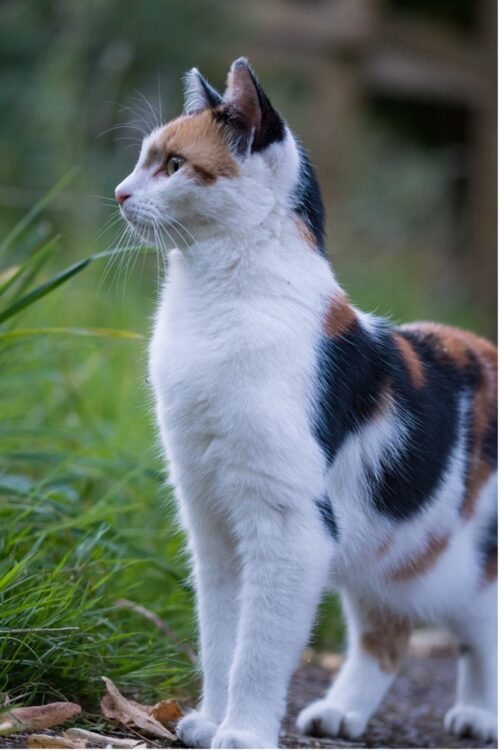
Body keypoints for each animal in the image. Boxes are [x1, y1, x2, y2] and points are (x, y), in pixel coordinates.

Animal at [116, 57, 496, 748]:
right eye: (141, 160)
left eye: (175, 164)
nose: (121, 193)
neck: (217, 300)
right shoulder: (210, 518)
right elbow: (220, 635)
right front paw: (210, 720)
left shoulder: (289, 526)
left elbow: (259, 647)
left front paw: (242, 731)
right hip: (389, 553)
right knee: (387, 635)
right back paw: (341, 713)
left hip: (461, 562)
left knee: (482, 628)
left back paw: (480, 713)